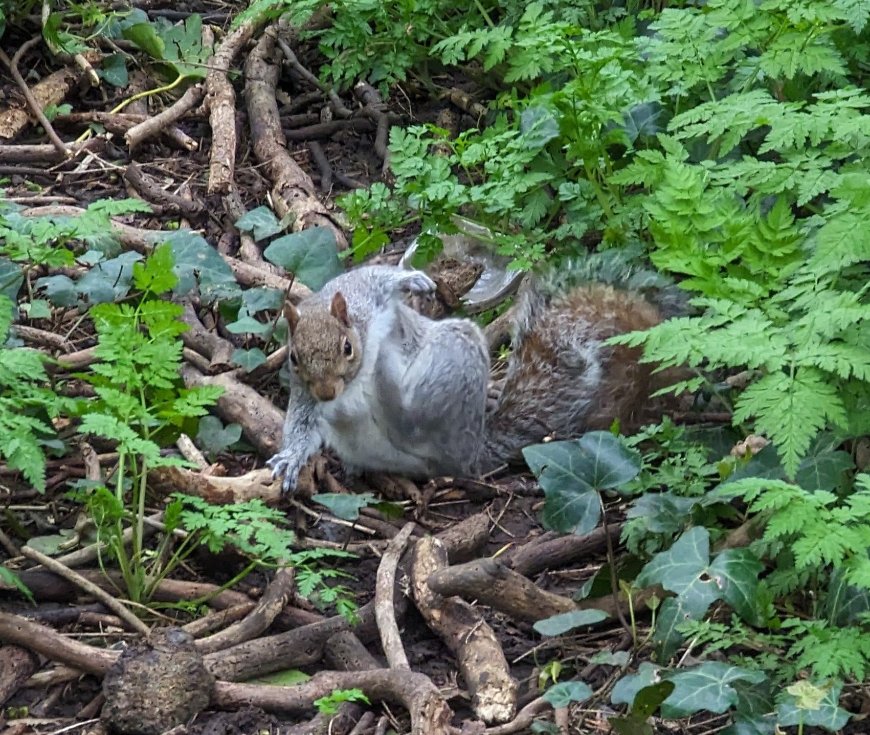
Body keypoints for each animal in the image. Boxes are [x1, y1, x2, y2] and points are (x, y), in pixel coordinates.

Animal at [268, 255, 682, 492]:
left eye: (346, 348)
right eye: (294, 358)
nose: (327, 393)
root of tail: (473, 452)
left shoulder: (363, 294)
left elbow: (377, 277)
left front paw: (413, 279)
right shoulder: (305, 394)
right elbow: (302, 424)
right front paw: (290, 458)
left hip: (456, 358)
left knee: (417, 423)